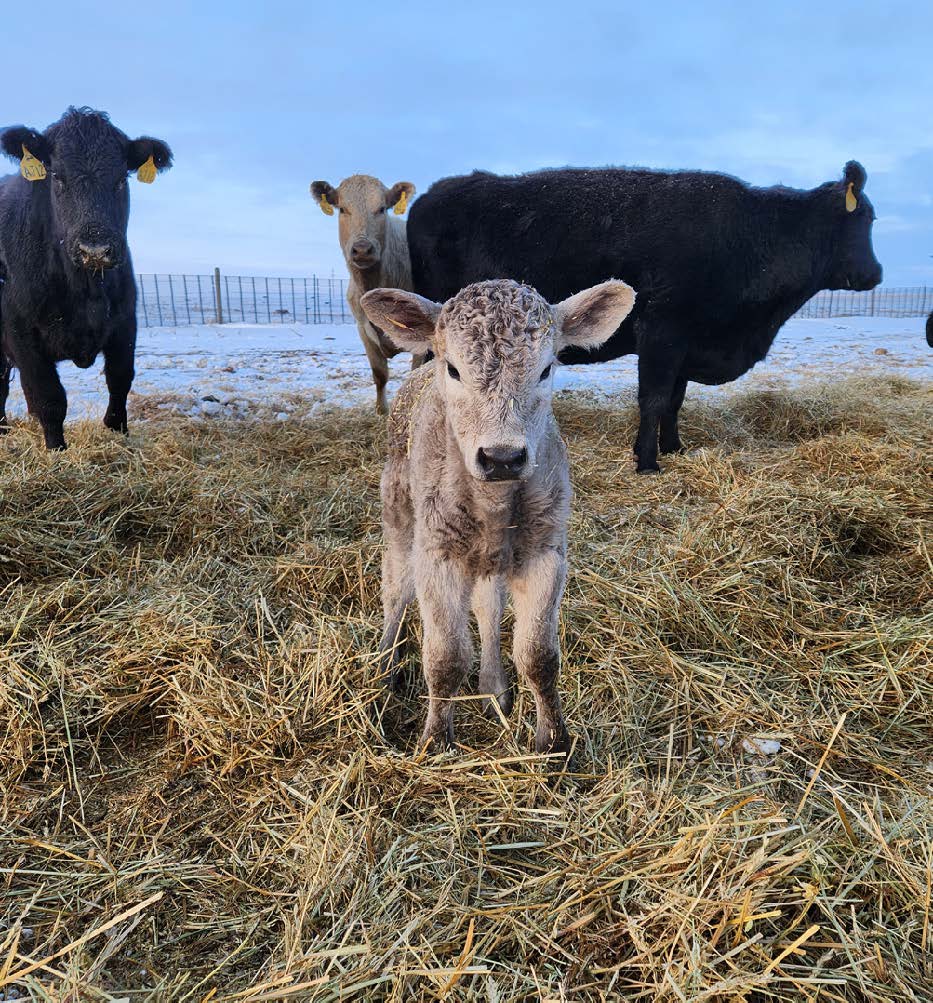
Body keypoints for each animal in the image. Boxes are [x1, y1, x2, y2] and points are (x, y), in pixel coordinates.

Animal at [0, 107, 170, 449]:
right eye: (56, 175)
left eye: (121, 179)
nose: (96, 249)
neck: (84, 289)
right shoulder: (20, 332)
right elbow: (49, 396)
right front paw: (57, 450)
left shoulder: (125, 321)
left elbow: (120, 378)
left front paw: (119, 432)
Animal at [311, 174, 417, 413]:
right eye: (342, 209)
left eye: (382, 209)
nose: (362, 249)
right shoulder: (363, 329)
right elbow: (379, 374)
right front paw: (381, 411)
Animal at [359, 278, 638, 754]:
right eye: (453, 369)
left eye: (545, 370)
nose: (502, 457)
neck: (494, 506)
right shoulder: (437, 554)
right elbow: (445, 657)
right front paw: (435, 742)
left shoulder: (546, 551)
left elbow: (539, 655)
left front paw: (554, 741)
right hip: (398, 515)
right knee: (395, 592)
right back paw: (383, 667)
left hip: (493, 559)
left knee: (488, 606)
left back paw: (494, 688)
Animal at [407, 163, 878, 473]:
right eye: (868, 217)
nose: (875, 274)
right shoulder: (662, 332)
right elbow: (652, 398)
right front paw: (648, 462)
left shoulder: (686, 344)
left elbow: (674, 399)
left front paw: (674, 447)